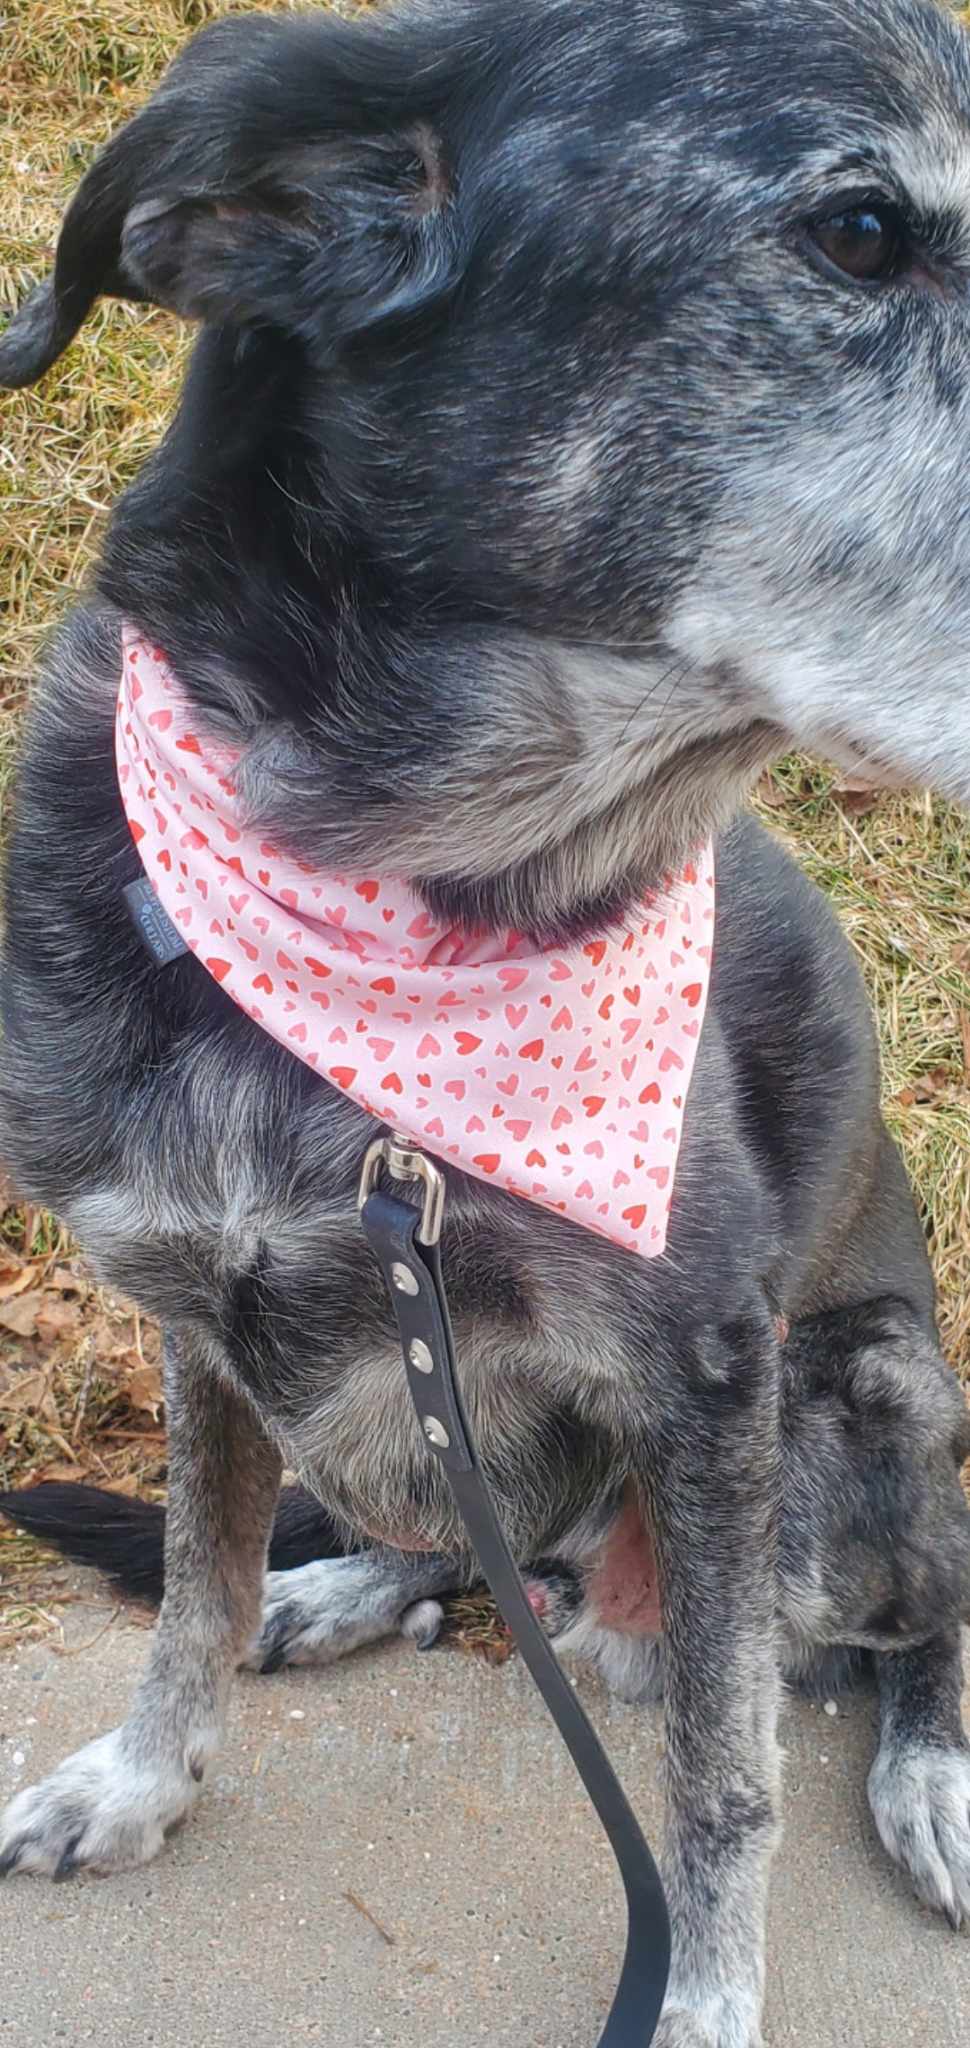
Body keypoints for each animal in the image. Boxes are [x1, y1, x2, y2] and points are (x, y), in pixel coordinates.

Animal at [1, 0, 969, 2039]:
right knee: (475, 1552)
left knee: (920, 1608)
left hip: (862, 1408)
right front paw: (142, 1774)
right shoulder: (196, 1316)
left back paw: (928, 1769)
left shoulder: (711, 1391)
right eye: (859, 232)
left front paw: (703, 2004)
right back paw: (350, 1590)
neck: (405, 927)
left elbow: (725, 1776)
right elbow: (196, 1582)